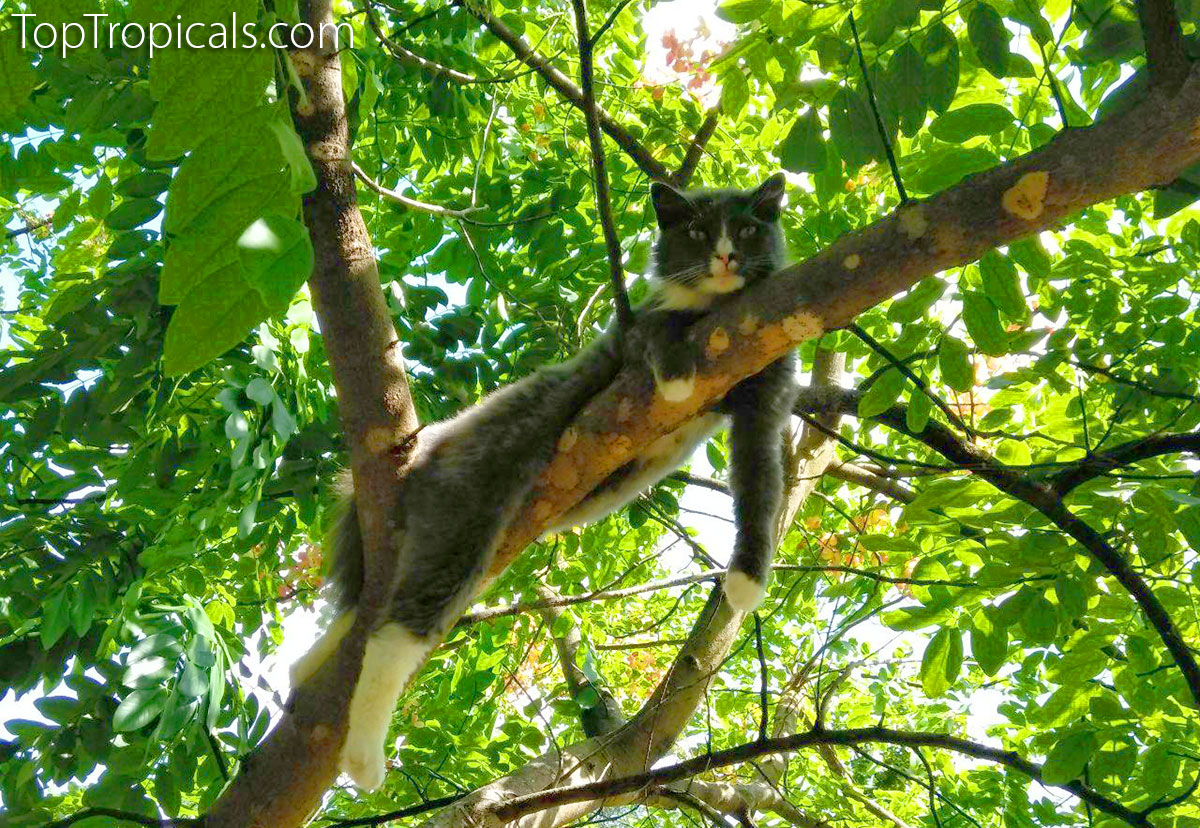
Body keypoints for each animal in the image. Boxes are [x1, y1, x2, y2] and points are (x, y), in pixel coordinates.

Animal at [290, 172, 796, 787]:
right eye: (698, 232)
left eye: (746, 229)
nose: (724, 256)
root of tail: (424, 449)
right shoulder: (630, 336)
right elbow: (662, 326)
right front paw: (678, 374)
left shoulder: (765, 401)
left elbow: (761, 490)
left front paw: (745, 580)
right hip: (466, 507)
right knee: (394, 631)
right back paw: (364, 757)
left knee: (365, 619)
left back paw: (302, 674)